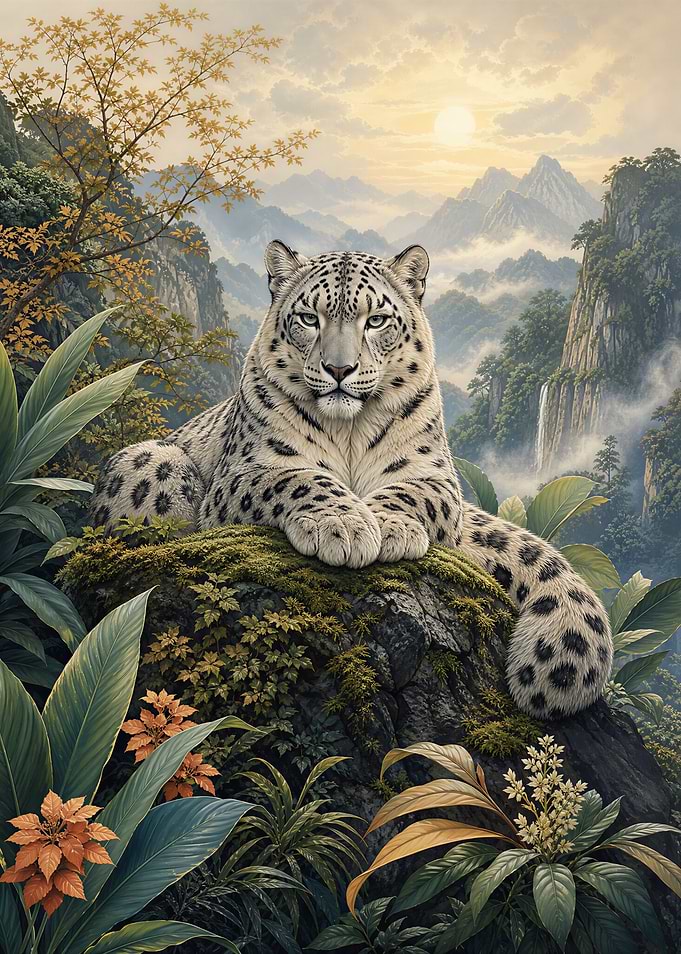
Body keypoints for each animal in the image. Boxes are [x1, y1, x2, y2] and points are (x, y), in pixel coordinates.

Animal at [89, 240, 614, 718]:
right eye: (309, 318)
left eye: (375, 320)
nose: (339, 368)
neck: (349, 432)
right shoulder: (246, 470)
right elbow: (301, 478)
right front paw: (345, 525)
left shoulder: (434, 475)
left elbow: (412, 494)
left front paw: (389, 528)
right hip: (153, 459)